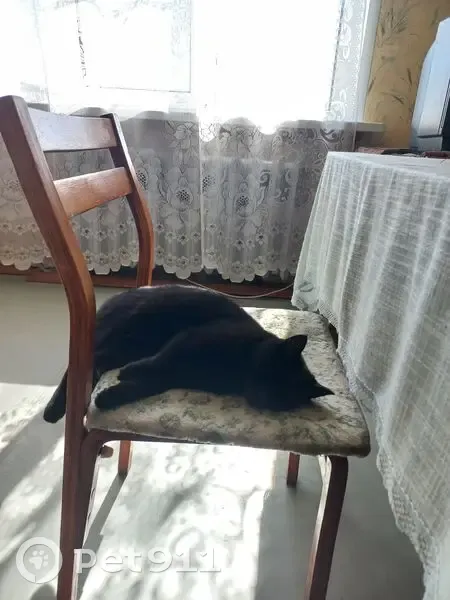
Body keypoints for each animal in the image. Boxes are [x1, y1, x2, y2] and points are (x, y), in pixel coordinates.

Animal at [43, 284, 332, 423]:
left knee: (96, 361)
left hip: (124, 346)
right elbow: (156, 364)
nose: (264, 395)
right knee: (85, 361)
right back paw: (53, 410)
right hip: (131, 334)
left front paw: (110, 396)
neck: (238, 372)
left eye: (282, 397)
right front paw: (129, 373)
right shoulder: (187, 340)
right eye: (272, 371)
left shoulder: (178, 376)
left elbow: (150, 384)